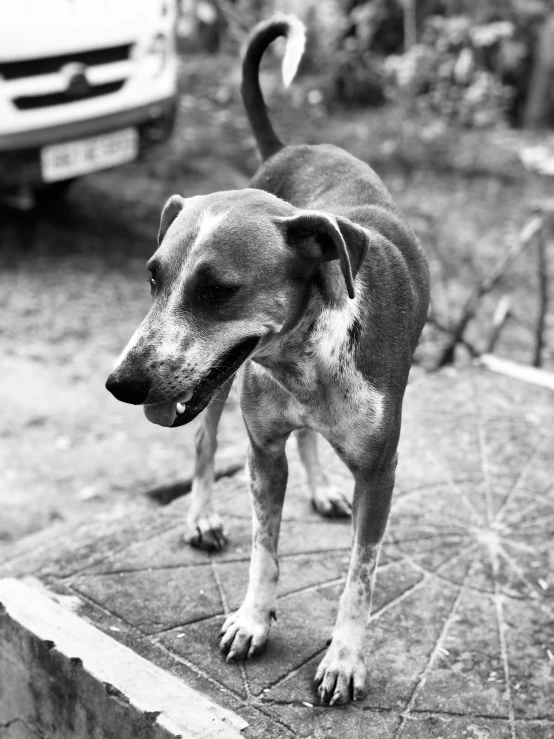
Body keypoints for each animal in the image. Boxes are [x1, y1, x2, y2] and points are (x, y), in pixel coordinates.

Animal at [105, 15, 430, 704]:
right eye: (153, 277)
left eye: (217, 290)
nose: (121, 384)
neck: (305, 360)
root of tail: (287, 146)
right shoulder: (261, 451)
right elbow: (264, 547)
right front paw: (253, 620)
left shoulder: (381, 472)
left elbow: (359, 576)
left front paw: (344, 659)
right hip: (217, 389)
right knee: (203, 442)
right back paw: (203, 518)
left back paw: (323, 488)